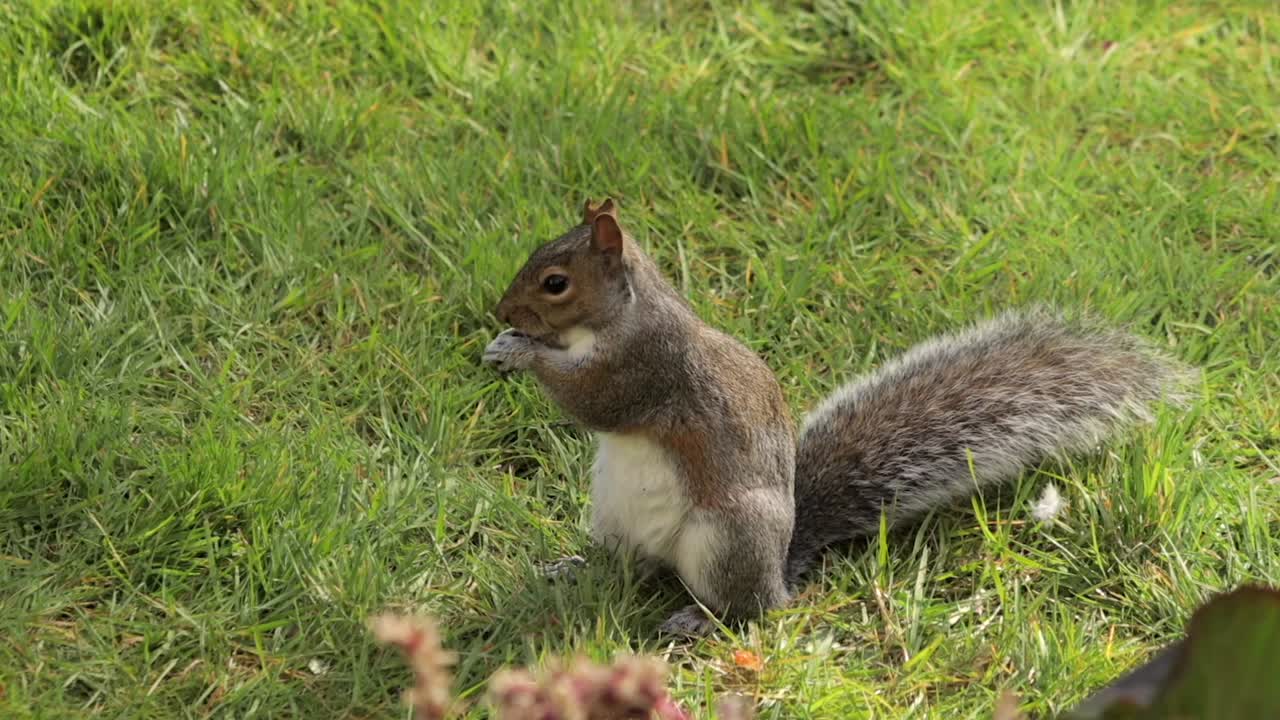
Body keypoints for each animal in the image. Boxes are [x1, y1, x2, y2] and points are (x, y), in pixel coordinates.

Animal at [482, 198, 1195, 636]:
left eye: (555, 282)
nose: (500, 311)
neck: (619, 317)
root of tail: (781, 568)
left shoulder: (645, 368)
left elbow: (593, 400)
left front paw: (521, 353)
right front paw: (504, 345)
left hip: (727, 539)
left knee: (747, 610)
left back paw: (698, 619)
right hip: (614, 514)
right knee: (629, 567)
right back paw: (575, 568)